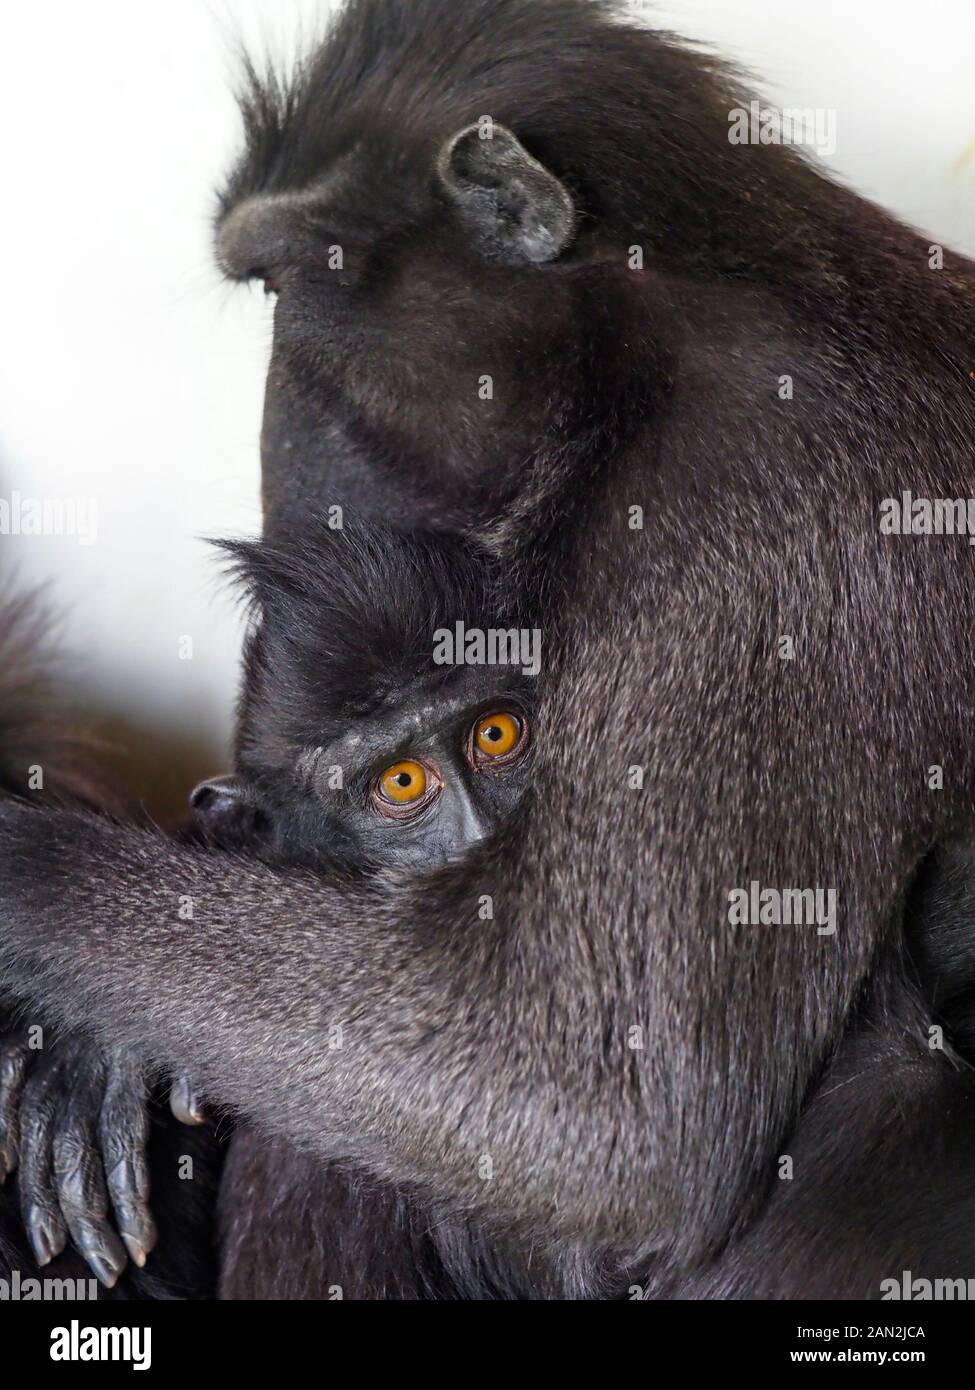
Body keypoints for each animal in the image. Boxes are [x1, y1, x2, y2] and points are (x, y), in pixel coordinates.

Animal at [2, 0, 975, 1297]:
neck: (648, 346)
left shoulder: (754, 510)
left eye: (298, 278)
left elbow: (597, 1114)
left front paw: (38, 912)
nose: (269, 435)